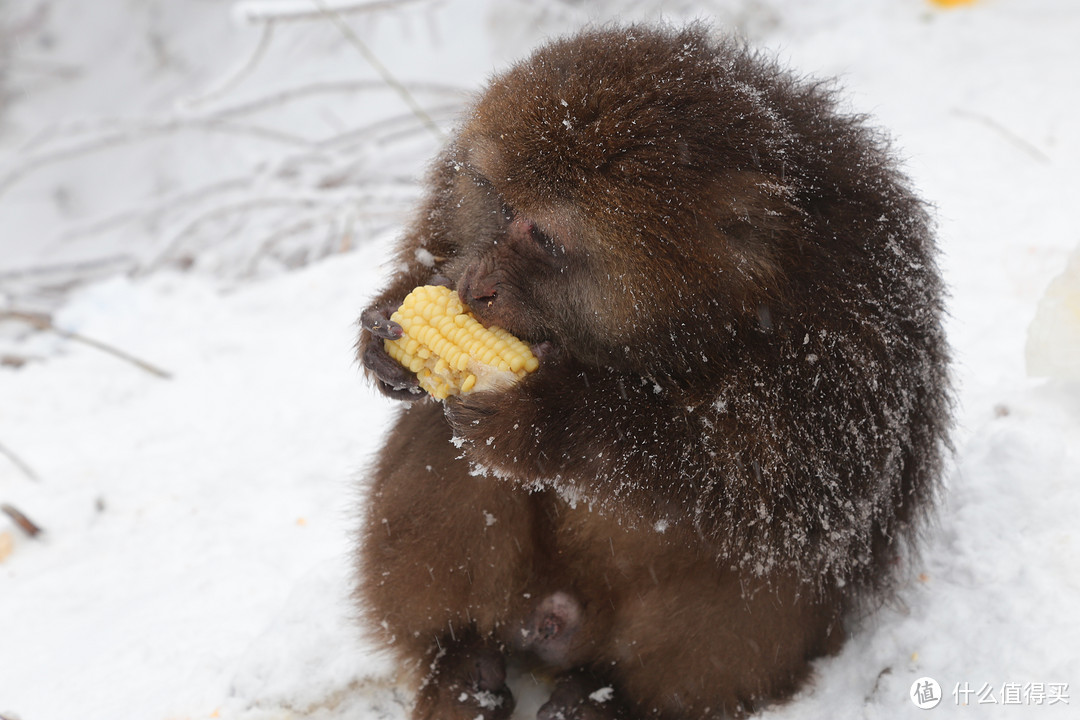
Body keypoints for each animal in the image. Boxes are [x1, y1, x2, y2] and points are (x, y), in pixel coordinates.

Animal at [352, 23, 946, 720]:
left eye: (544, 238)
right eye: (500, 207)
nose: (477, 285)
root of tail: (556, 625)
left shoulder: (855, 326)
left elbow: (788, 482)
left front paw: (551, 420)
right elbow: (432, 252)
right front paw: (391, 322)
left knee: (762, 569)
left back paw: (612, 697)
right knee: (438, 438)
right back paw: (461, 660)